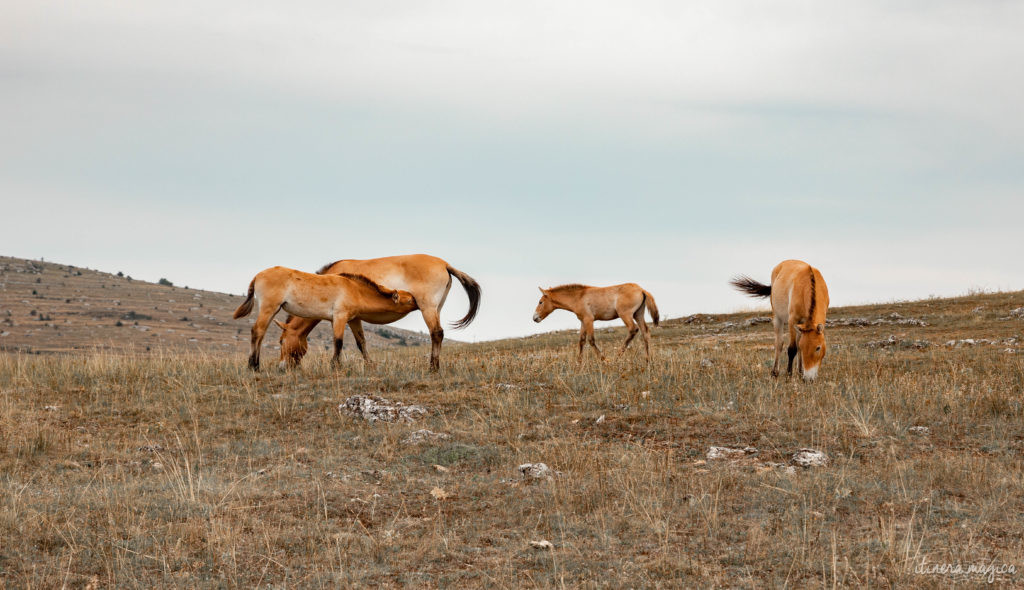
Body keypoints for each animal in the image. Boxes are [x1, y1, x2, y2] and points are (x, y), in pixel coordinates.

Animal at [234, 266, 415, 370]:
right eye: (410, 300)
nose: (282, 366)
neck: (354, 289)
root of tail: (258, 276)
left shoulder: (353, 319)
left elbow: (361, 342)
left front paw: (370, 365)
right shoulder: (340, 317)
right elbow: (338, 341)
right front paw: (335, 366)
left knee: (261, 333)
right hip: (269, 308)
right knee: (257, 331)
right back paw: (253, 366)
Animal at [278, 251, 481, 370]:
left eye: (280, 341)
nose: (282, 366)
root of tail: (444, 264)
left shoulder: (341, 317)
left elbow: (341, 342)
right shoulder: (354, 318)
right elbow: (361, 342)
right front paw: (370, 365)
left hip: (428, 308)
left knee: (436, 333)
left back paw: (433, 368)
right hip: (436, 308)